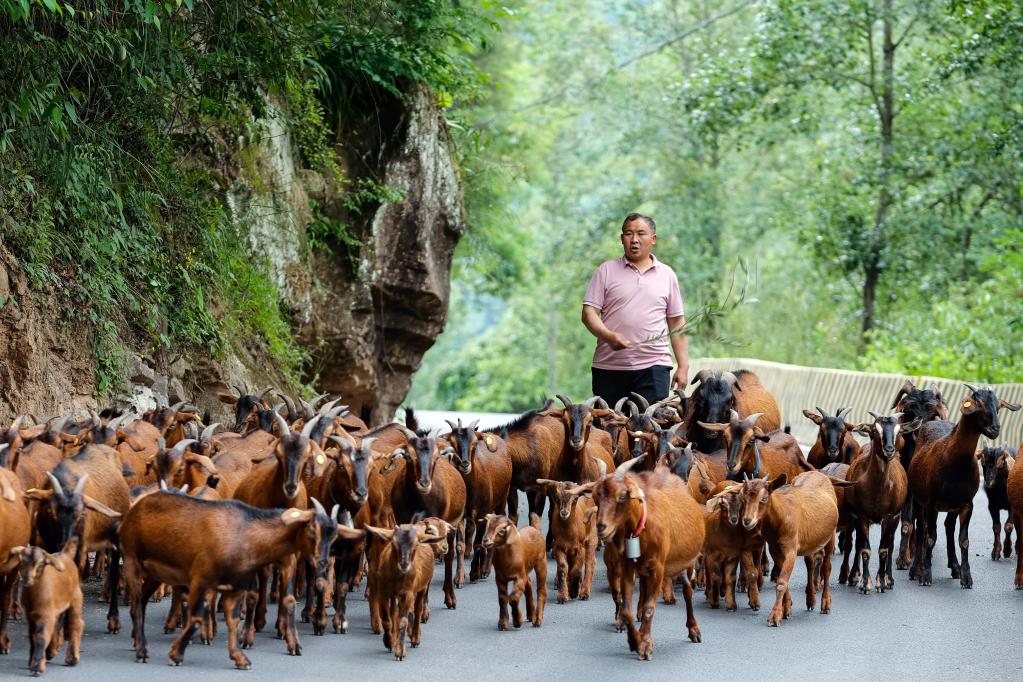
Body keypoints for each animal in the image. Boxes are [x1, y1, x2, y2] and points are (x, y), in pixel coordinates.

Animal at [10, 539, 82, 678]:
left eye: (40, 564)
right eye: (21, 561)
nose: (26, 580)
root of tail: (65, 554)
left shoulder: (45, 614)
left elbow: (41, 637)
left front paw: (37, 667)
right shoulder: (31, 615)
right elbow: (33, 637)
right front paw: (33, 661)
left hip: (76, 598)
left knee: (75, 623)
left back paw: (72, 658)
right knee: (56, 625)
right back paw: (51, 652)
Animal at [118, 492, 351, 670]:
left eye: (334, 535)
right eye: (312, 528)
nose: (322, 562)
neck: (244, 534)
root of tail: (134, 510)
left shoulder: (236, 587)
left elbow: (233, 619)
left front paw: (240, 658)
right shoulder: (200, 579)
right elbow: (196, 617)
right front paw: (176, 654)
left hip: (154, 573)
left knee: (142, 603)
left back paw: (137, 642)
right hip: (131, 560)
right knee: (135, 606)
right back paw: (141, 651)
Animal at [908, 384, 1018, 588]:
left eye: (998, 406)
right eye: (979, 404)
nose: (995, 429)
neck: (954, 462)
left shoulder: (967, 503)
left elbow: (964, 540)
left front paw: (967, 577)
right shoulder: (932, 502)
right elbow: (930, 537)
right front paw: (926, 575)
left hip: (952, 506)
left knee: (948, 527)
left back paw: (954, 567)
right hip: (919, 501)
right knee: (921, 530)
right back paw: (915, 569)